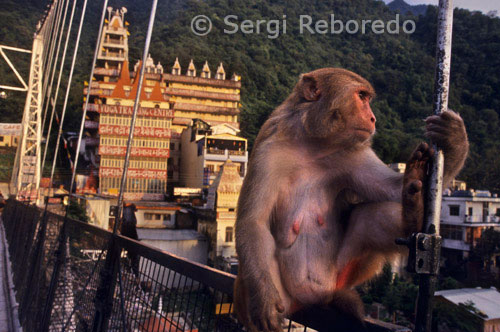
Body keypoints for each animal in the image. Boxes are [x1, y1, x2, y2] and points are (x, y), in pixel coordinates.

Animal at [232, 68, 466, 332]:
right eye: (361, 96)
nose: (373, 118)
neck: (312, 143)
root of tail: (314, 298)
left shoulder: (352, 152)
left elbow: (392, 189)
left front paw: (454, 140)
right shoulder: (268, 149)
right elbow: (253, 222)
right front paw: (264, 300)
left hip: (342, 273)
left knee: (370, 217)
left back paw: (413, 213)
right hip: (286, 297)